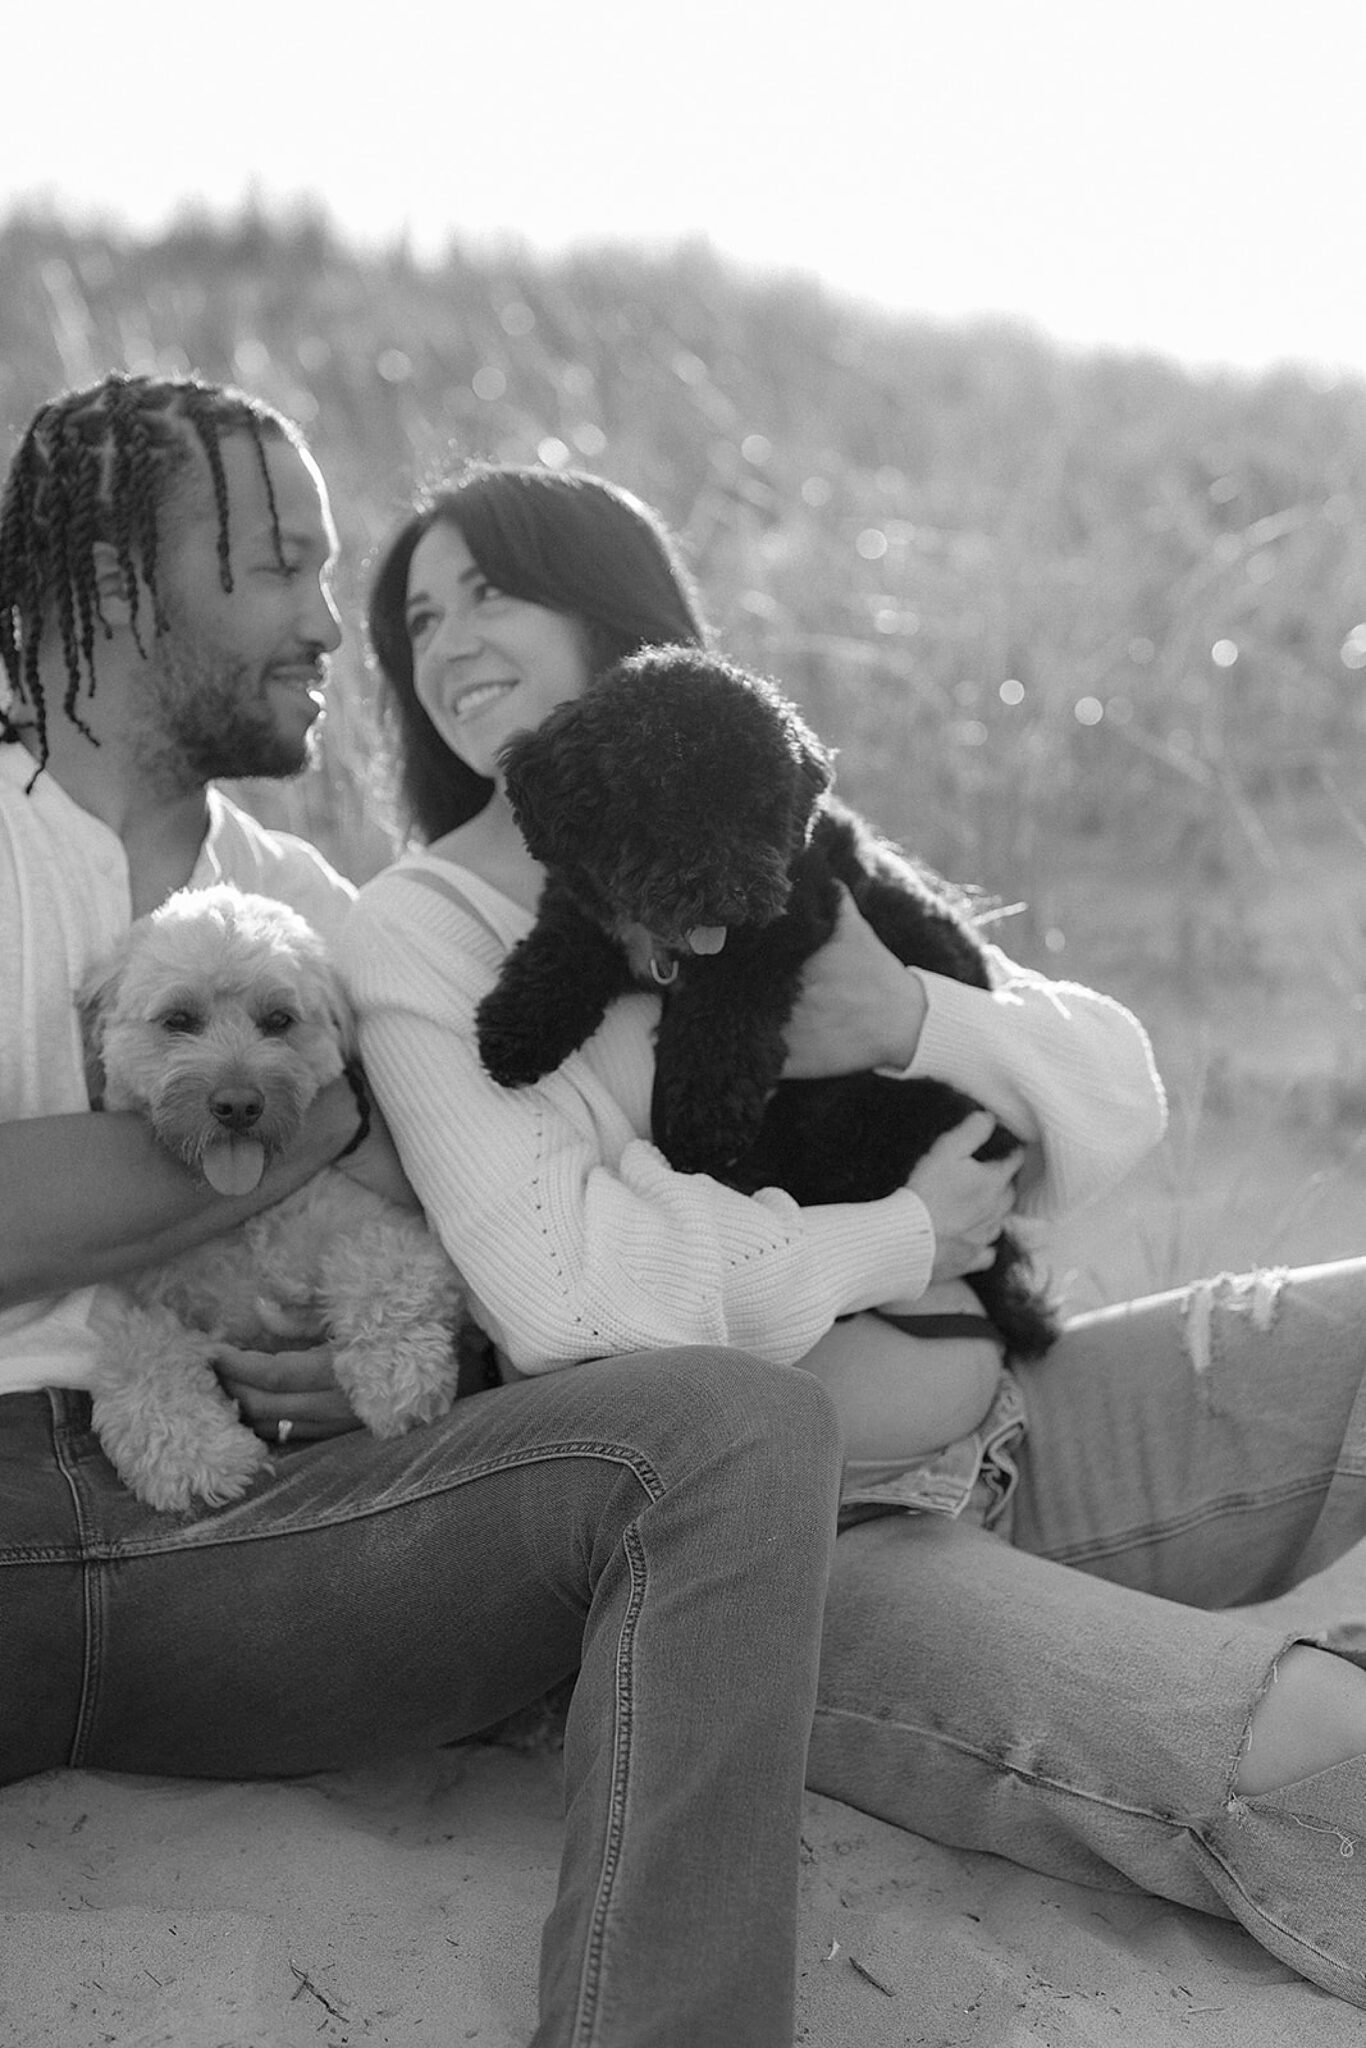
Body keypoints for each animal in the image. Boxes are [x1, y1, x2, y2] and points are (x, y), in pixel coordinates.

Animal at [80, 884, 465, 1511]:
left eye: (279, 1020)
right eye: (178, 1020)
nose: (238, 1104)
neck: (245, 1219)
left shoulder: (387, 1225)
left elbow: (381, 1274)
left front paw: (395, 1376)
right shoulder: (137, 1309)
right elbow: (142, 1359)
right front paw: (200, 1459)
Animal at [475, 645, 1056, 1360]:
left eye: (762, 807)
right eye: (661, 799)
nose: (731, 894)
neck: (665, 947)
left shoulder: (775, 930)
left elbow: (719, 1023)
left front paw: (701, 1124)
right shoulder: (588, 911)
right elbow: (557, 951)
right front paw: (514, 1031)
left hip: (847, 1115)